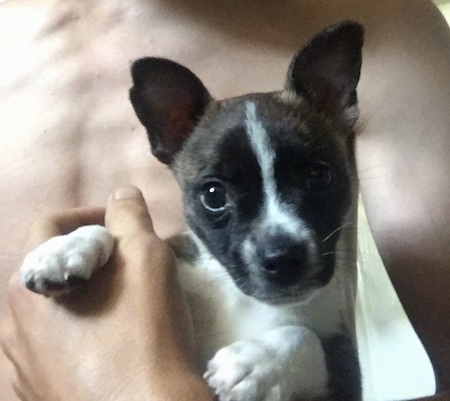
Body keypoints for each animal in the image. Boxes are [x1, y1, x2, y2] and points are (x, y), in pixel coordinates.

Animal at [22, 21, 366, 400]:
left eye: (319, 178)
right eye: (213, 196)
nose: (283, 257)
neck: (242, 300)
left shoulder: (344, 373)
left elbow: (306, 339)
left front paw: (254, 363)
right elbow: (120, 232)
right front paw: (66, 247)